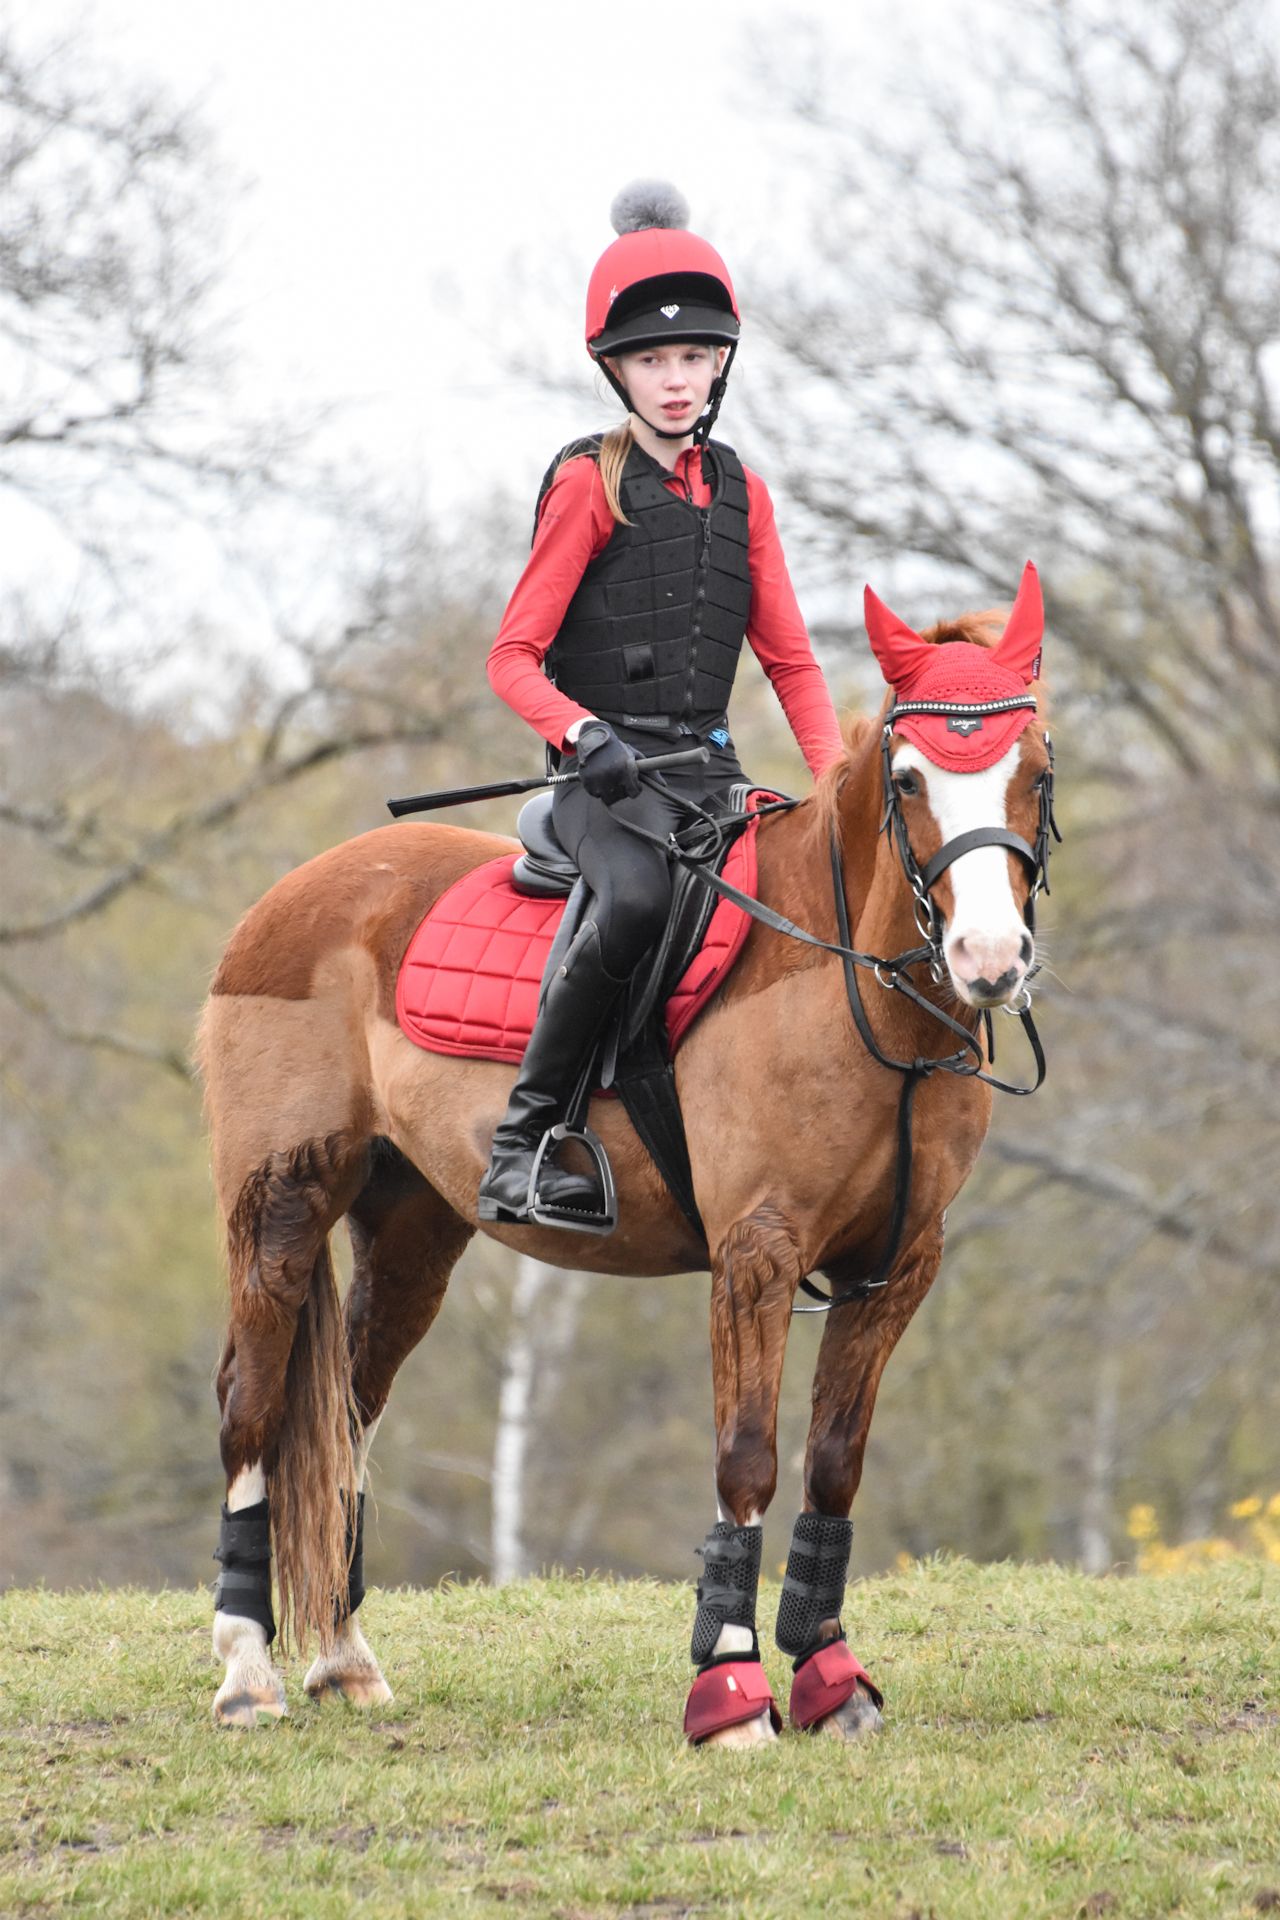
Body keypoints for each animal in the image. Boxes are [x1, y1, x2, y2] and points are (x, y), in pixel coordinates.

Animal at [197, 565, 1056, 1745]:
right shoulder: (756, 1257)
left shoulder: (894, 1268)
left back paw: (344, 1658)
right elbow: (746, 1459)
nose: (987, 960)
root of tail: (292, 896)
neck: (848, 989)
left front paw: (829, 1676)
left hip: (411, 1231)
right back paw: (248, 1670)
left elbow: (834, 1467)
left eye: (1036, 770)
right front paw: (731, 1690)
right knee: (253, 1402)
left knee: (343, 1416)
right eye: (912, 778)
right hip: (280, 1208)